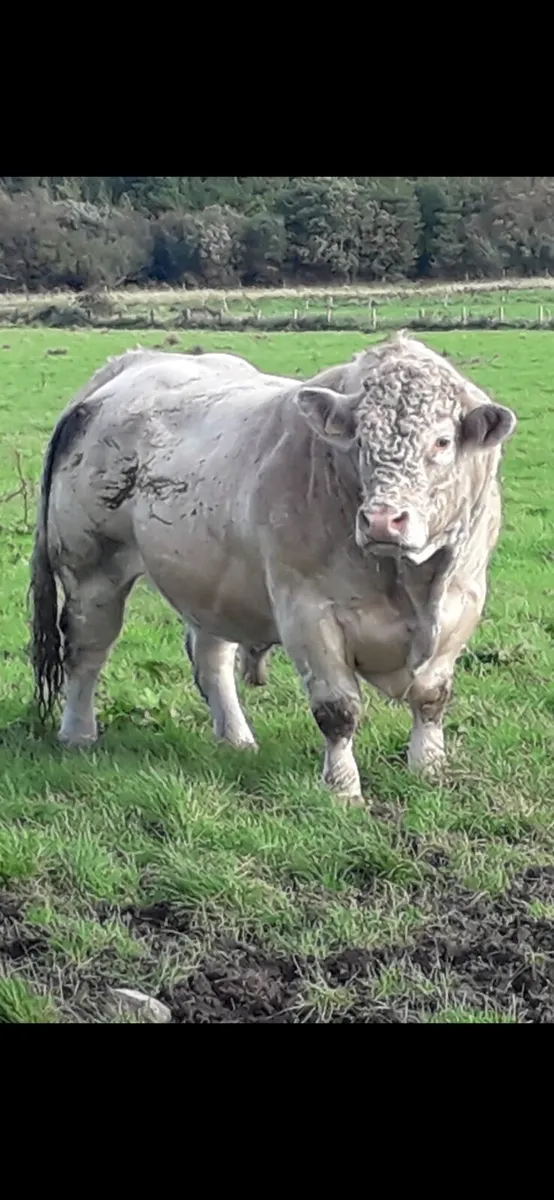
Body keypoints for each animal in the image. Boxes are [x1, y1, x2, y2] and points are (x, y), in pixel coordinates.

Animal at [29, 333, 517, 805]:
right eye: (359, 440)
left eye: (442, 441)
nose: (382, 520)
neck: (410, 585)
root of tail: (126, 364)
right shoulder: (308, 612)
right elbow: (338, 710)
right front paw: (343, 789)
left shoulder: (463, 603)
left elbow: (432, 698)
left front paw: (429, 770)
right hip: (92, 569)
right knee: (87, 651)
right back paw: (78, 734)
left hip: (214, 580)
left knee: (211, 660)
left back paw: (235, 737)